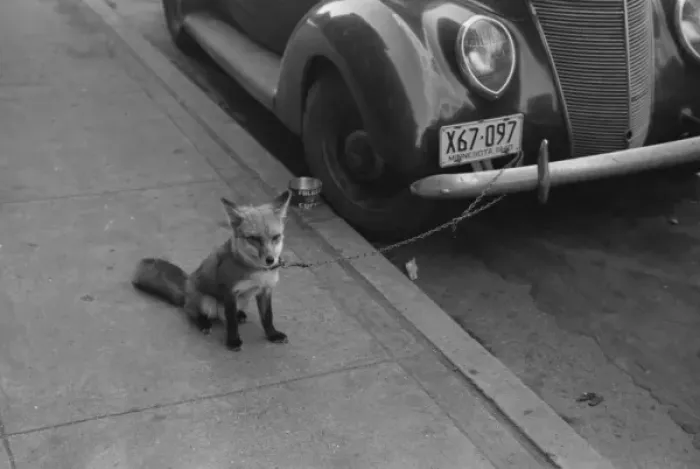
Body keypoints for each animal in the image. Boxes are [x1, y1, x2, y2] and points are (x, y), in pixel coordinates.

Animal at [131, 191, 292, 351]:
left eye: (276, 237)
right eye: (254, 238)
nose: (270, 260)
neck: (257, 272)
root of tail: (186, 287)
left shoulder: (265, 290)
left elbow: (267, 317)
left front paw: (272, 335)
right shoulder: (229, 292)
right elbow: (231, 322)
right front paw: (233, 341)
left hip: (242, 300)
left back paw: (240, 314)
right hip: (207, 302)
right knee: (191, 311)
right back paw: (203, 323)